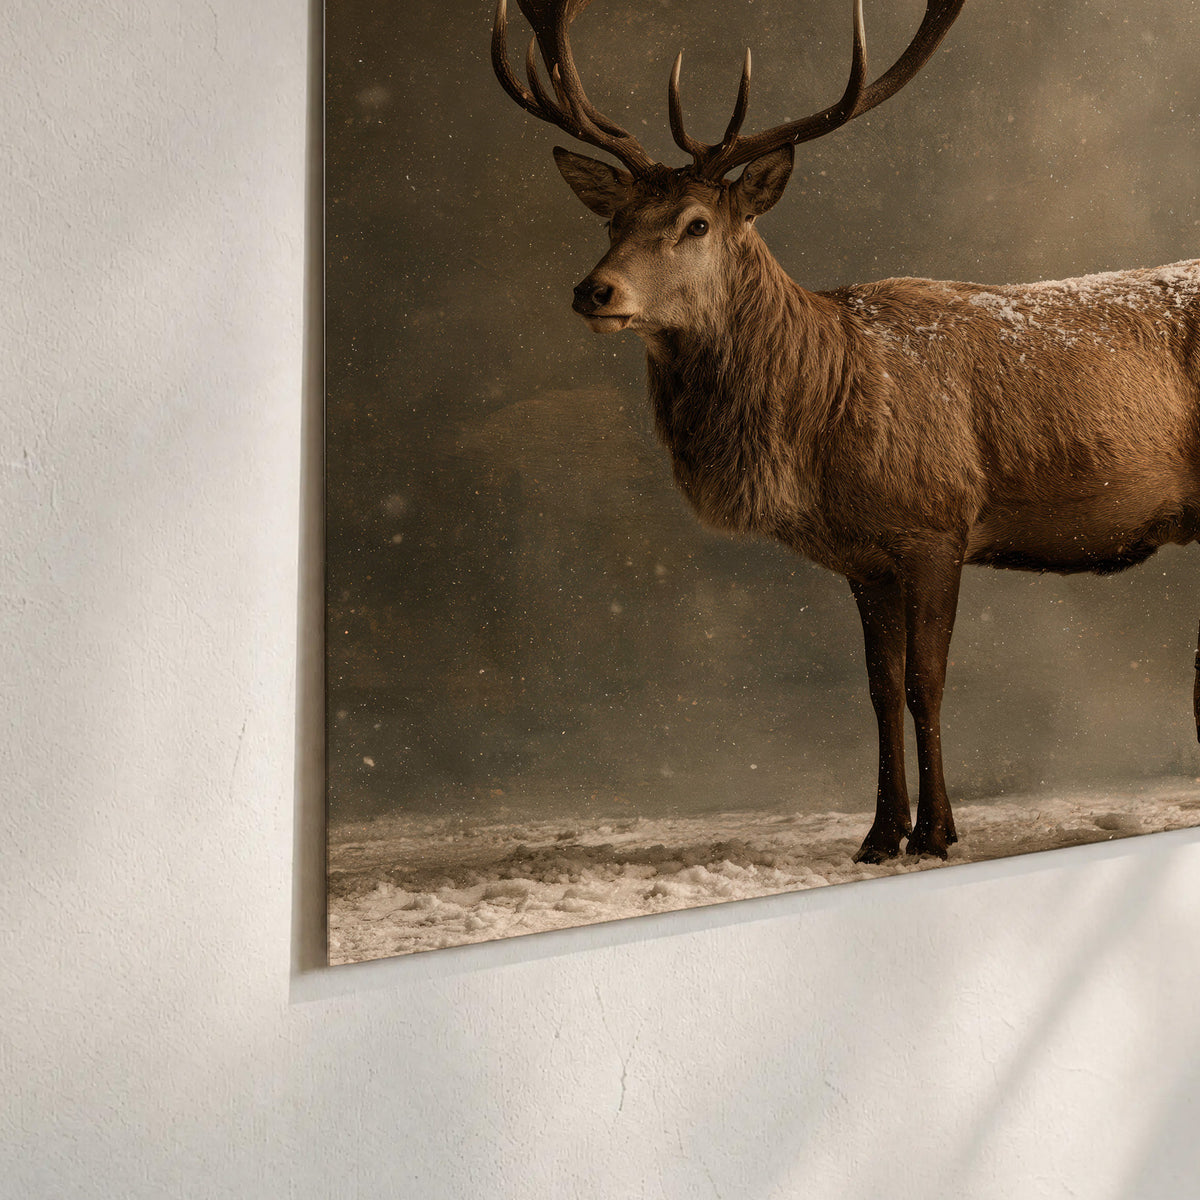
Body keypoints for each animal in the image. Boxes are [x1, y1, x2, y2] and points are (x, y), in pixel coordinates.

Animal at [490, 0, 1200, 862]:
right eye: (613, 220)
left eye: (696, 224)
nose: (595, 290)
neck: (822, 419)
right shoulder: (865, 556)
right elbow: (877, 687)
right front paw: (879, 833)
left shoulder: (935, 522)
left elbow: (926, 681)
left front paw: (936, 832)